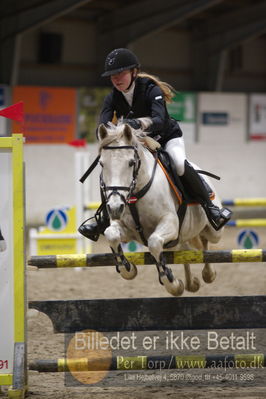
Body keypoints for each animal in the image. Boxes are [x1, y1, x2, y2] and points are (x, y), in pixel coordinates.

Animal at [97, 122, 222, 296]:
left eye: (131, 162)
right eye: (102, 164)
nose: (115, 207)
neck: (136, 192)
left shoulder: (170, 223)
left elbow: (154, 243)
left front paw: (172, 283)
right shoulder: (126, 229)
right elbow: (111, 235)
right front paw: (128, 269)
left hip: (214, 231)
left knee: (205, 240)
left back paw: (209, 274)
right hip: (181, 237)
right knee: (185, 249)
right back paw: (191, 283)